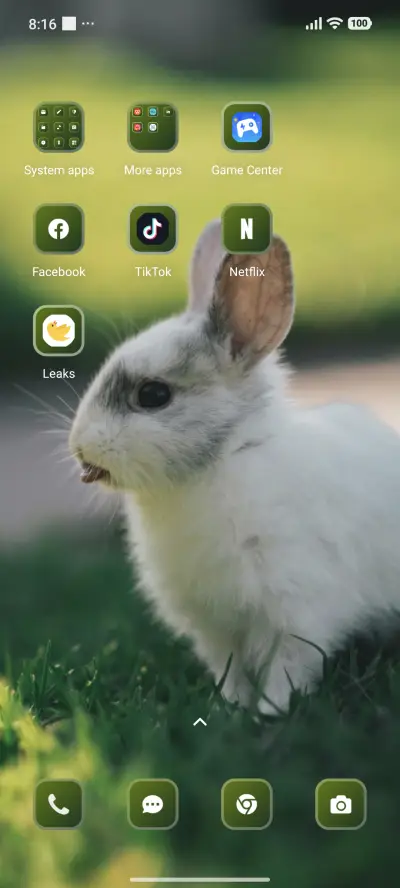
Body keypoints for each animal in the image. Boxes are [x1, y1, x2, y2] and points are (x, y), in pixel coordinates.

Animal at [69, 219, 400, 715]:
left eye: (153, 395)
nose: (80, 450)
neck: (225, 459)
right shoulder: (214, 626)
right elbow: (231, 669)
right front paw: (231, 708)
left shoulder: (294, 611)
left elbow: (288, 667)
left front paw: (271, 713)